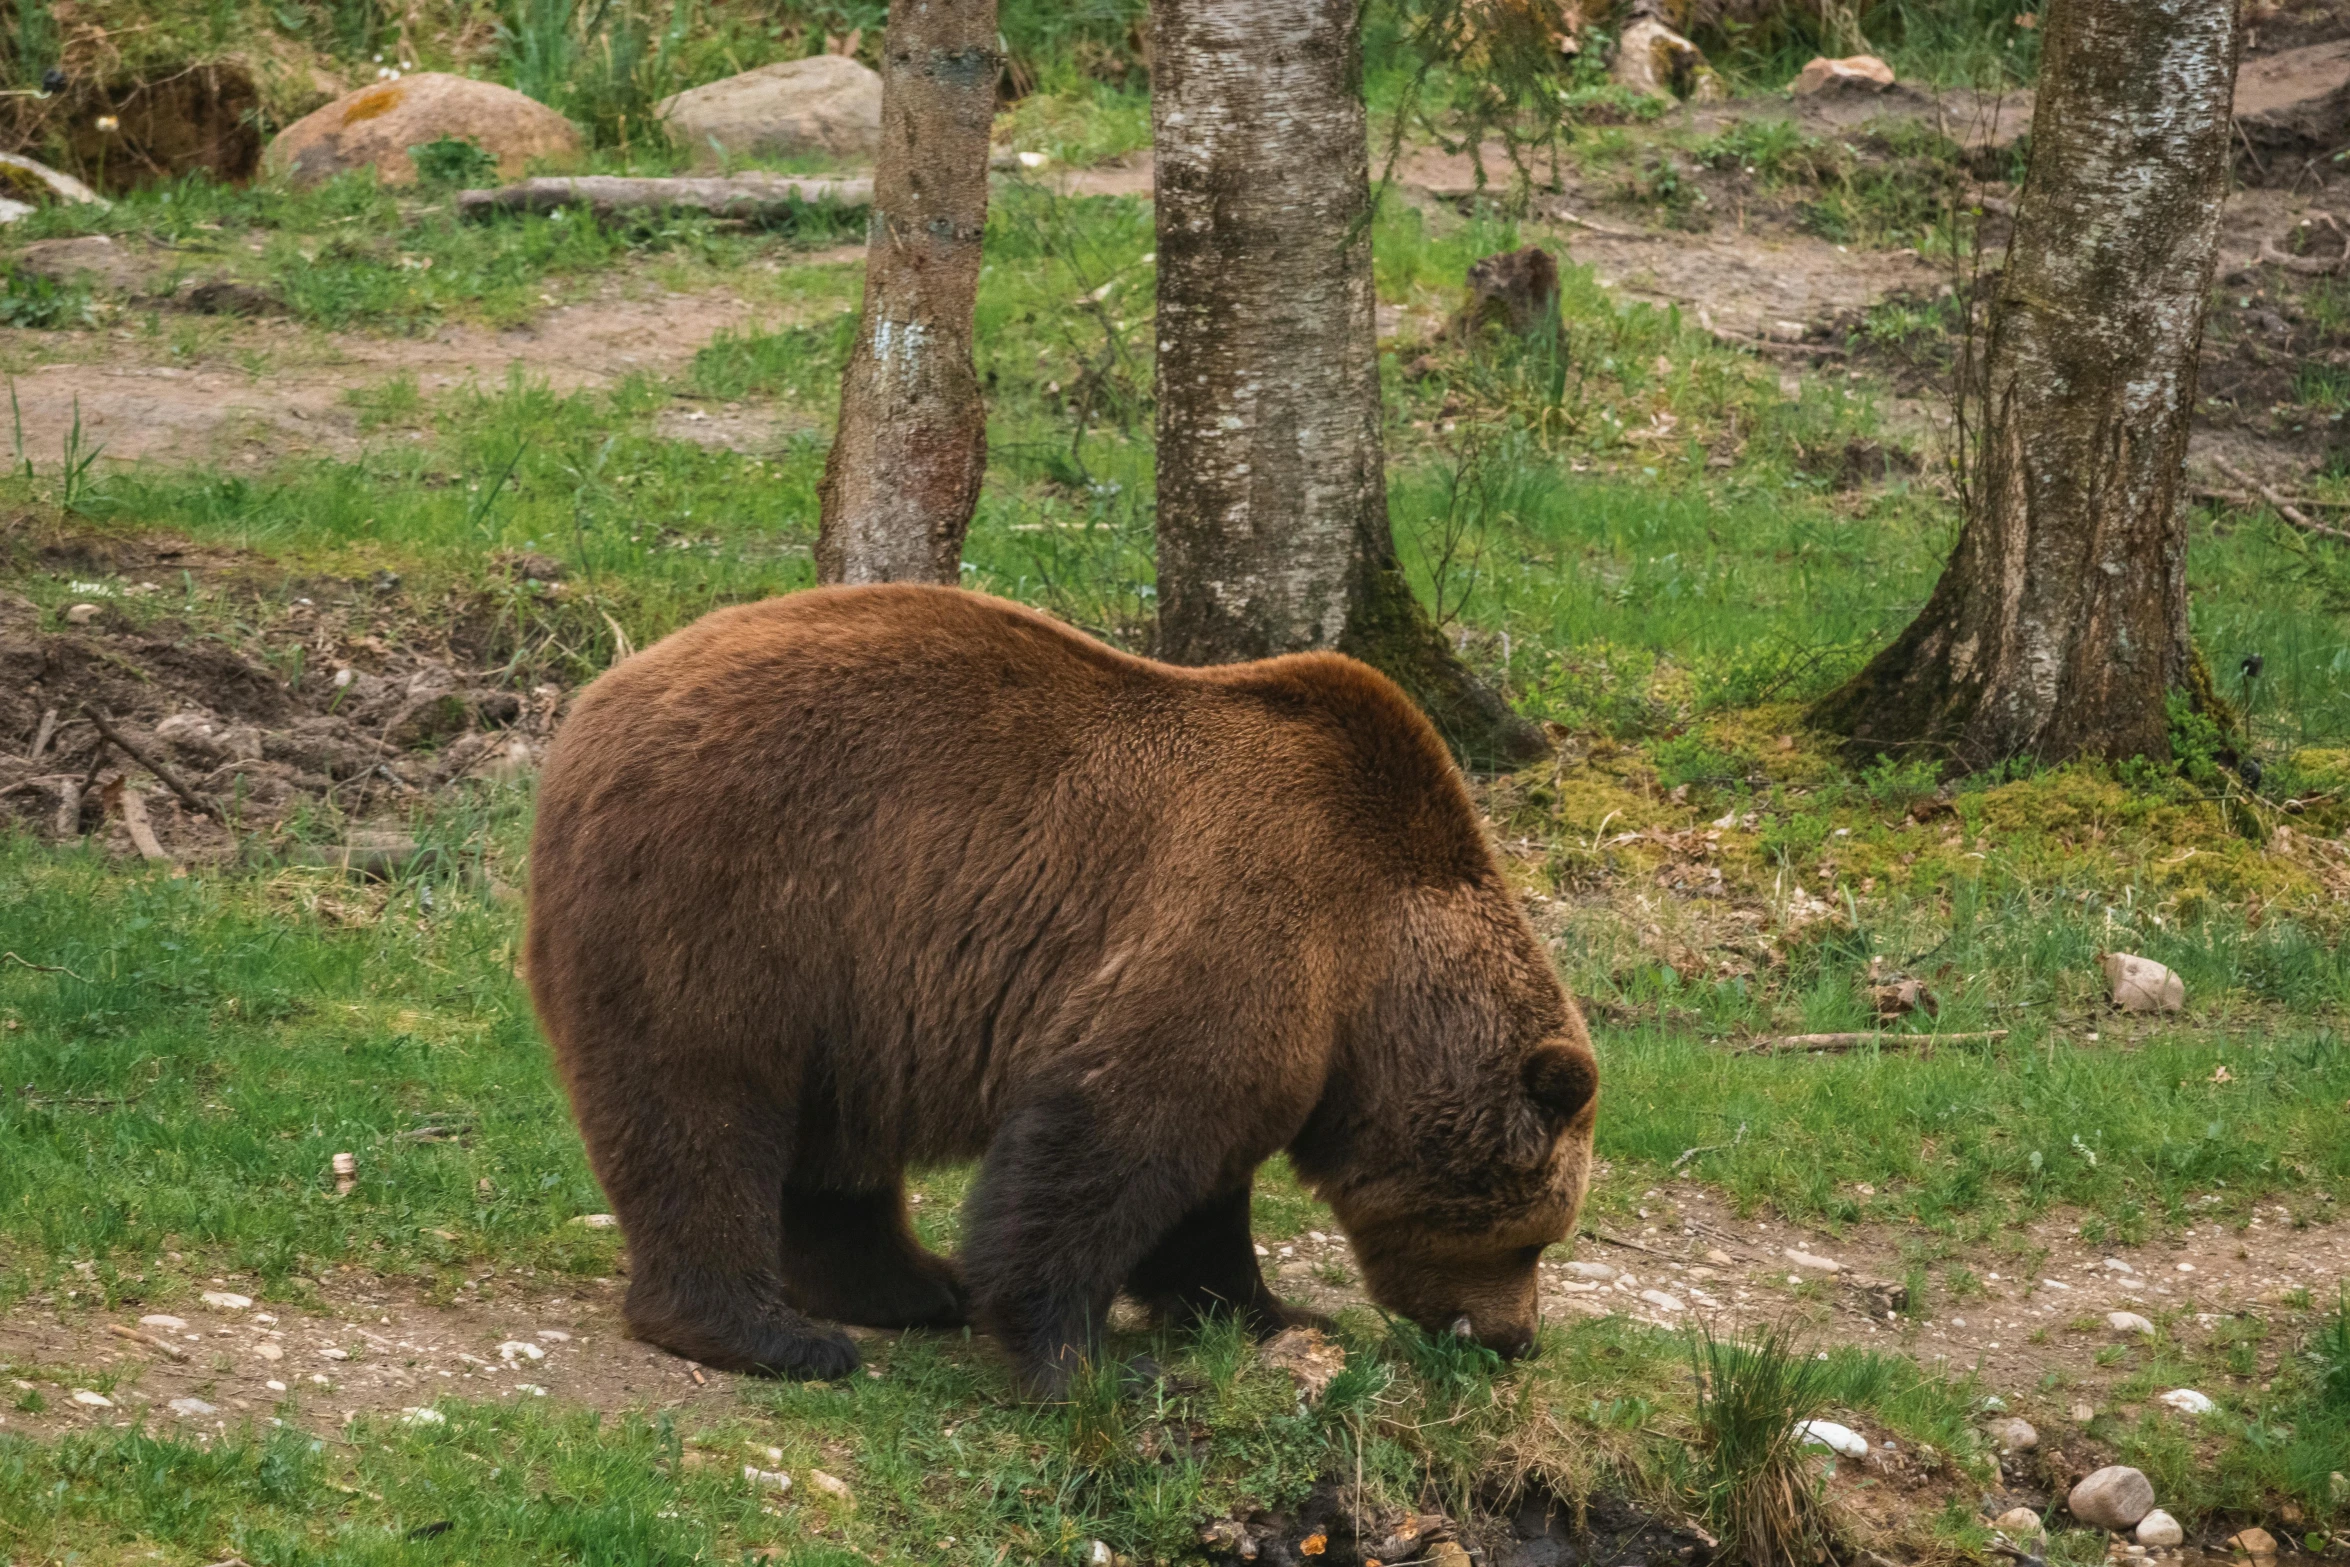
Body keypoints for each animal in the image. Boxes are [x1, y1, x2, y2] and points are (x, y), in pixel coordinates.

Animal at [528, 582, 1597, 1390]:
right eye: (1535, 1233)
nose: (1516, 1337)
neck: (1373, 982)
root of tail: (592, 708)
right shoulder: (1244, 926)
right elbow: (1112, 1141)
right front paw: (1085, 1359)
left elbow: (1206, 1193)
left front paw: (1267, 1310)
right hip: (736, 895)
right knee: (701, 1104)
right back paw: (771, 1334)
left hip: (849, 990)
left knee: (834, 1145)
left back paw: (910, 1287)